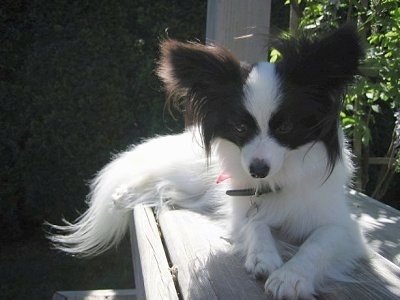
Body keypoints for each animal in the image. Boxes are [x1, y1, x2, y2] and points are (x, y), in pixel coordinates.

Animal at [51, 26, 368, 300]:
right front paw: (263, 256)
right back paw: (124, 194)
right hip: (191, 174)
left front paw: (292, 276)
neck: (274, 182)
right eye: (240, 128)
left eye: (286, 127)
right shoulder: (242, 213)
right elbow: (256, 225)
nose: (257, 170)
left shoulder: (342, 227)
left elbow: (318, 244)